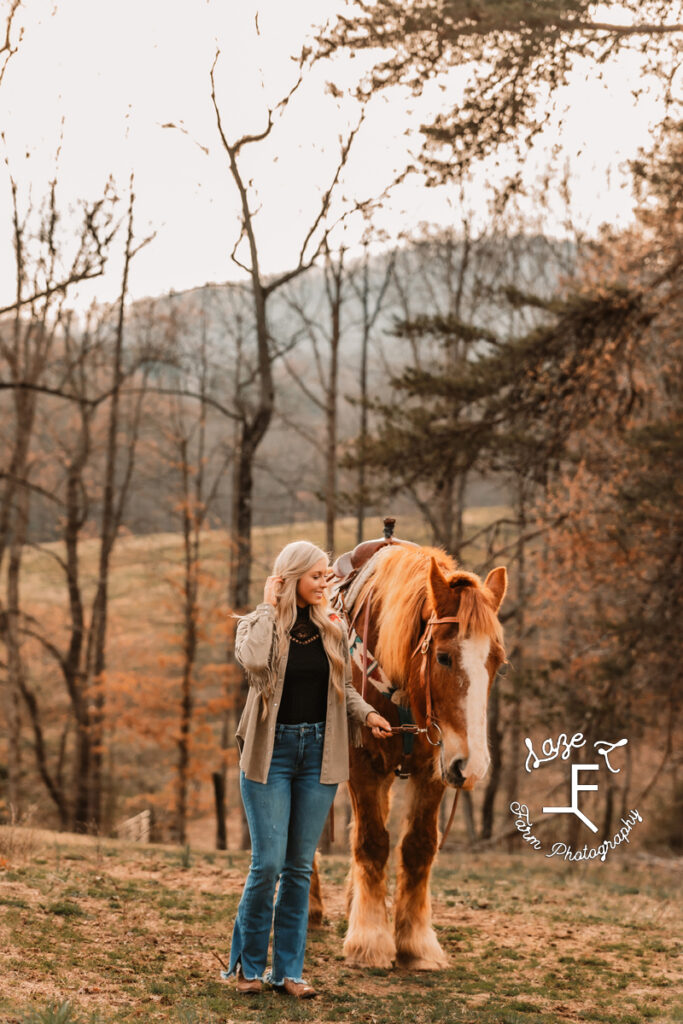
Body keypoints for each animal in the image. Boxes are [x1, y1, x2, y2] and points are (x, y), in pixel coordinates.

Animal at [333, 540, 505, 970]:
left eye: (496, 661)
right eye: (443, 657)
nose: (474, 765)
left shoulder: (435, 768)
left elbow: (418, 847)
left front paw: (415, 943)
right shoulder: (362, 766)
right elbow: (372, 842)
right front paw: (370, 940)